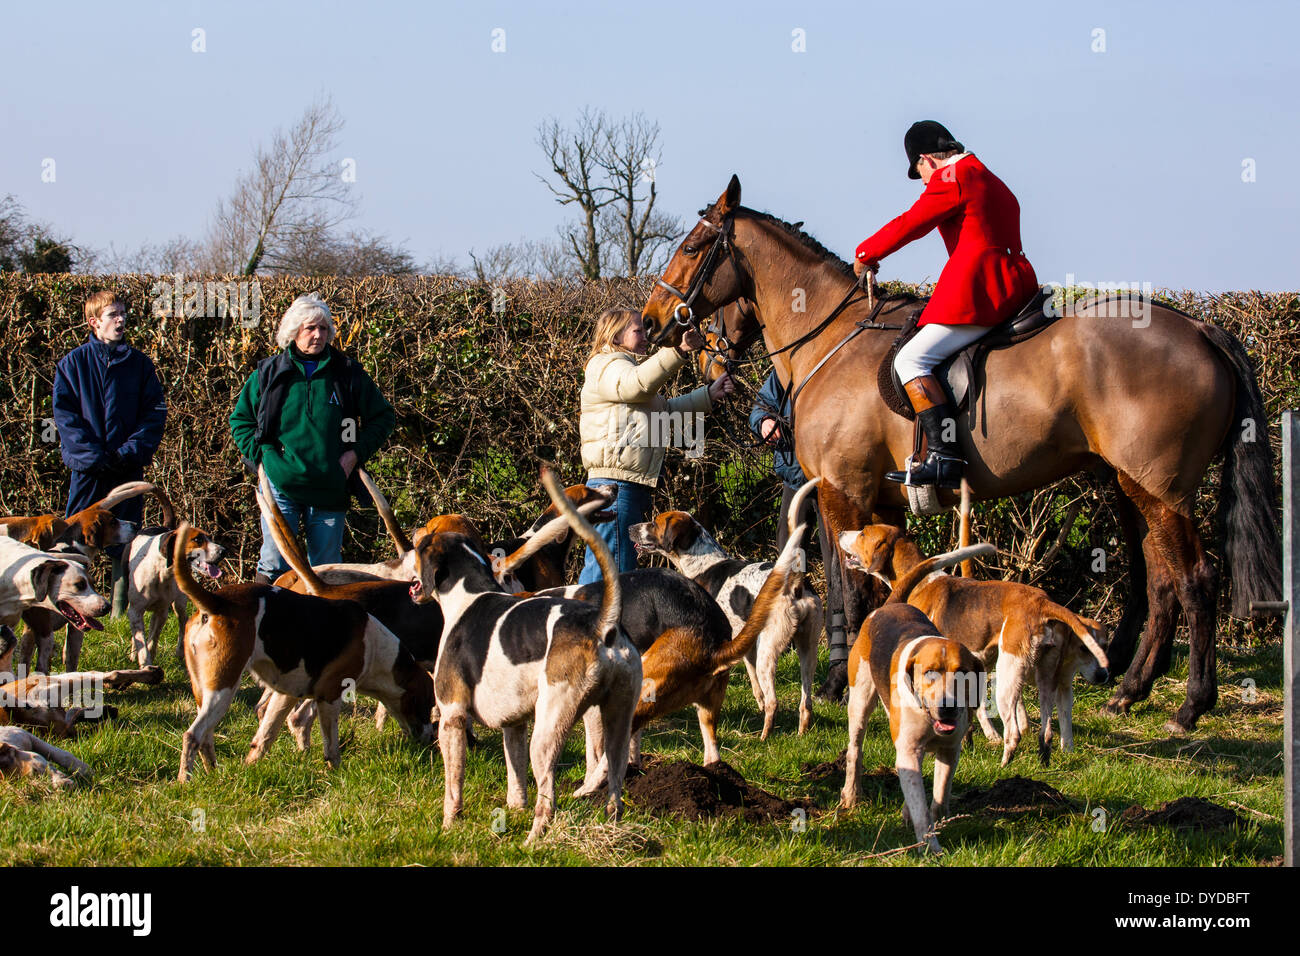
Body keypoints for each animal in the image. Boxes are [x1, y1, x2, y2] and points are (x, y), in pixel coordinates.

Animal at [639, 175, 1279, 738]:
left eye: (691, 247)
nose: (653, 323)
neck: (833, 335)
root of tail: (1201, 328)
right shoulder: (880, 504)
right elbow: (879, 589)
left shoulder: (844, 489)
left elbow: (850, 588)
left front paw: (837, 682)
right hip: (1134, 486)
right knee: (1163, 576)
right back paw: (1131, 690)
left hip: (1158, 488)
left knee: (1195, 579)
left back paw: (1190, 706)